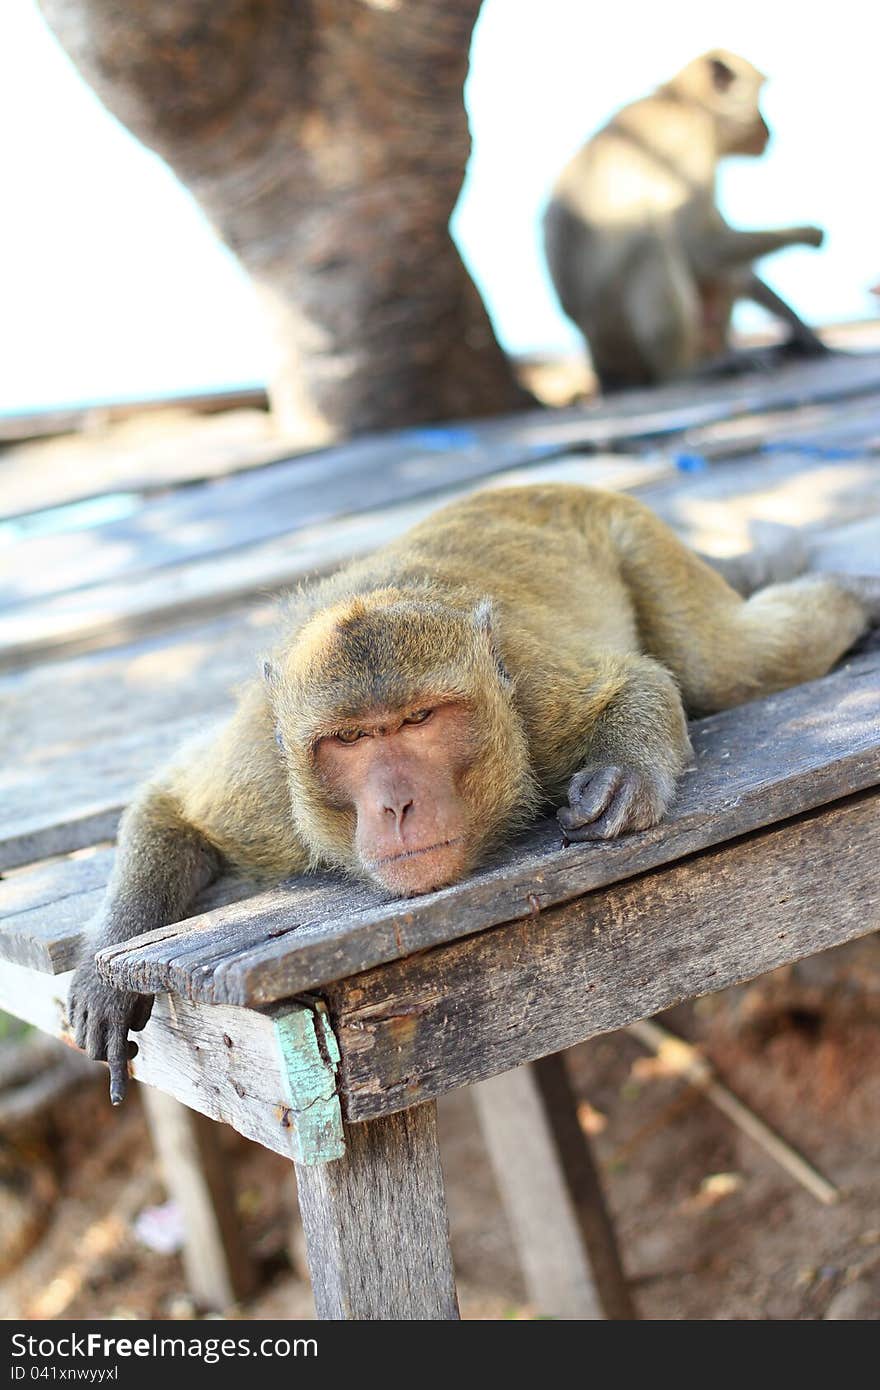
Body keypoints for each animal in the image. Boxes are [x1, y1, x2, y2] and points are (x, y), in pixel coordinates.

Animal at [70, 483, 878, 1100]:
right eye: (349, 740)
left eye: (420, 720)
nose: (396, 804)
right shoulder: (261, 784)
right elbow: (170, 804)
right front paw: (105, 972)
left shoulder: (528, 696)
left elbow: (639, 681)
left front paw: (624, 773)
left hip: (629, 531)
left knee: (722, 663)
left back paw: (848, 597)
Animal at [544, 50, 828, 391]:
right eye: (757, 104)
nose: (768, 130)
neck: (682, 101)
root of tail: (600, 361)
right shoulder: (692, 145)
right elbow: (697, 247)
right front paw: (808, 233)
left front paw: (797, 325)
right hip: (619, 335)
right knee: (651, 241)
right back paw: (685, 372)